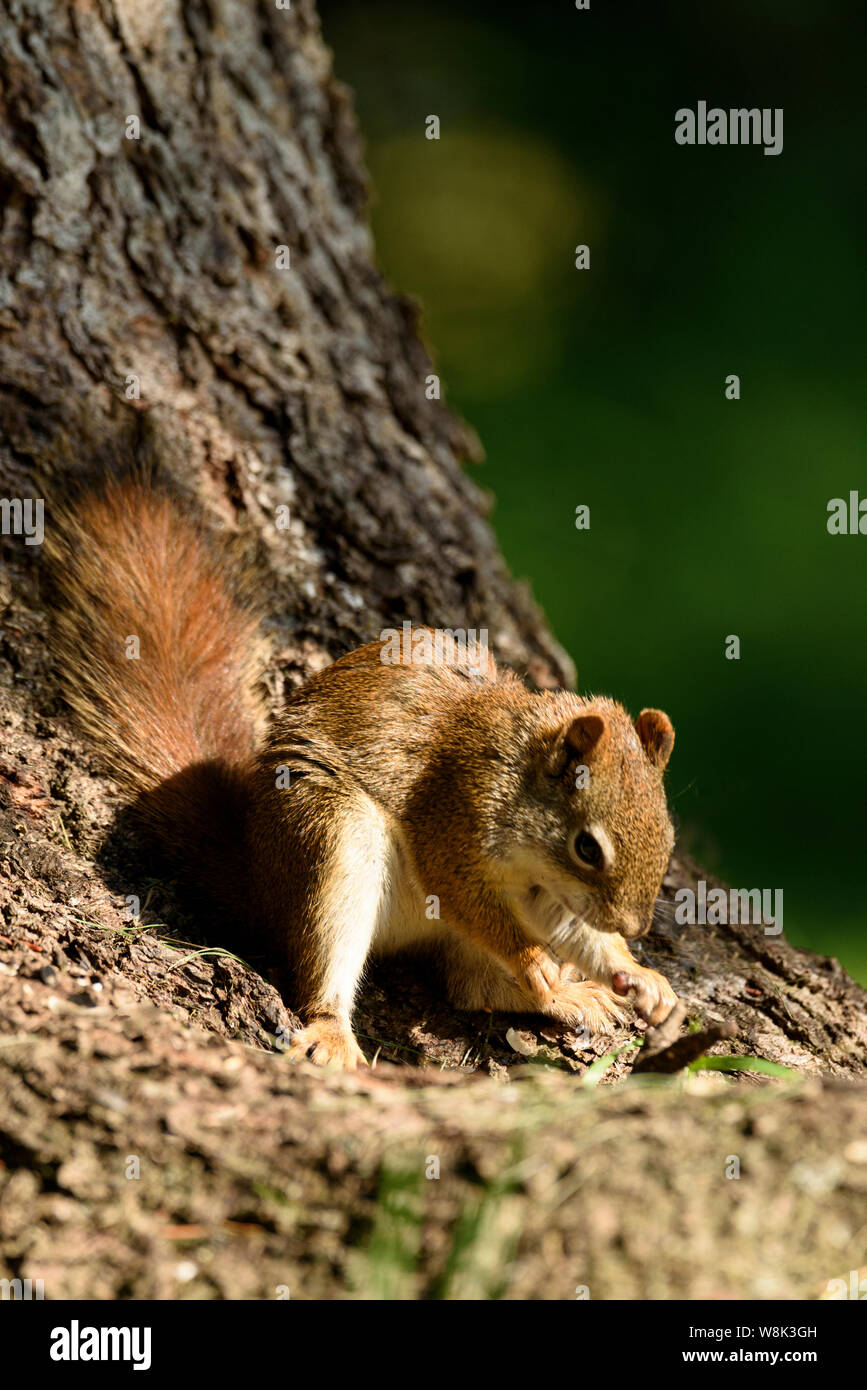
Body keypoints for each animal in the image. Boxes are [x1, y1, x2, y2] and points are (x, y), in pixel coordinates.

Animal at [48, 483, 678, 1067]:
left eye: (669, 841)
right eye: (587, 848)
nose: (635, 925)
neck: (516, 778)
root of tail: (258, 877)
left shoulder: (549, 893)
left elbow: (581, 934)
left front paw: (638, 975)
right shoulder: (455, 816)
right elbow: (466, 896)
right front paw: (536, 959)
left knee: (472, 988)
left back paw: (565, 997)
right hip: (332, 837)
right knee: (333, 962)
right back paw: (335, 1033)